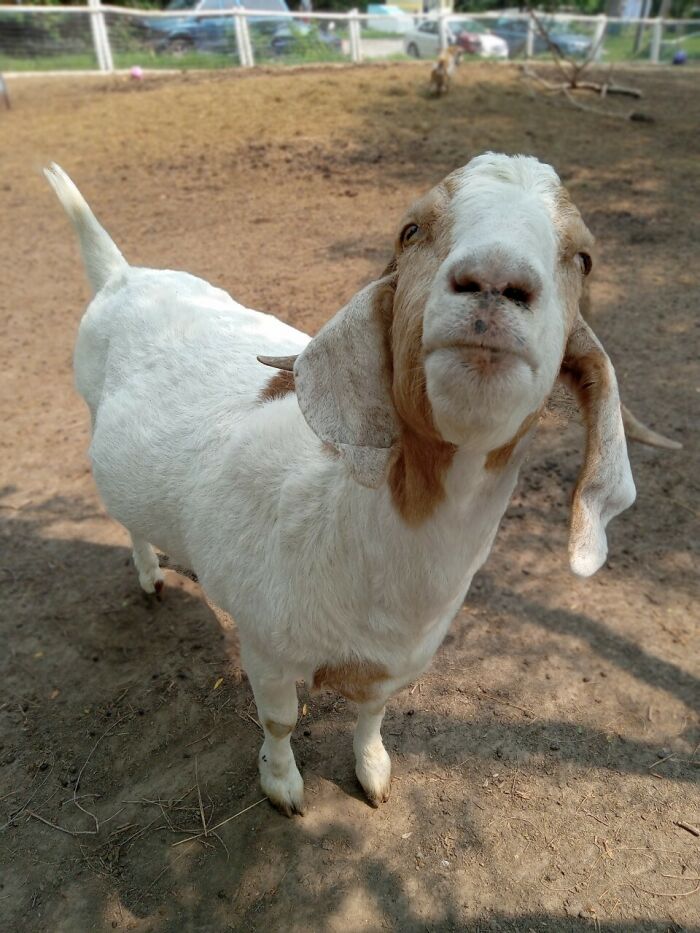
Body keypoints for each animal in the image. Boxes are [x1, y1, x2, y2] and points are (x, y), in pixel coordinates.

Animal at [45, 154, 636, 816]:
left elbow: (372, 712)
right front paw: (283, 788)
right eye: (410, 230)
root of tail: (122, 275)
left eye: (584, 258)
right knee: (125, 520)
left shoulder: (394, 660)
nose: (494, 281)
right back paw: (150, 575)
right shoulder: (265, 645)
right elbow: (279, 721)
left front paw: (373, 771)